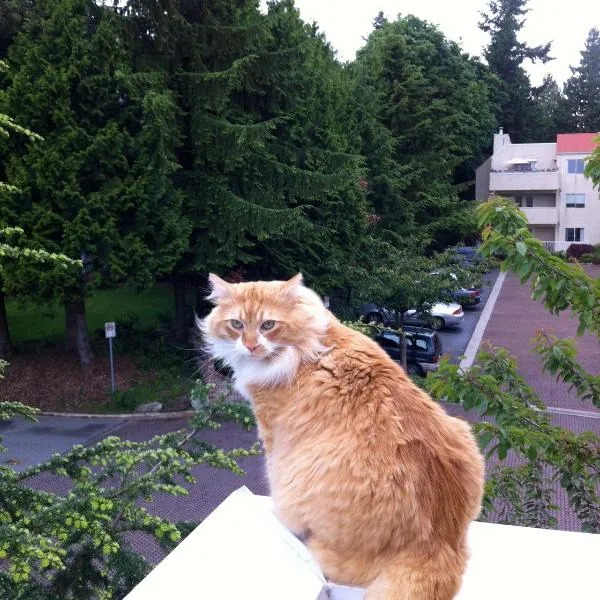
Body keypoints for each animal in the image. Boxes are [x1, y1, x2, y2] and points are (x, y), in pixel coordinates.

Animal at [204, 274, 486, 596]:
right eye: (237, 324)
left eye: (268, 325)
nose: (250, 346)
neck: (310, 343)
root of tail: (439, 544)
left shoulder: (272, 433)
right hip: (464, 432)